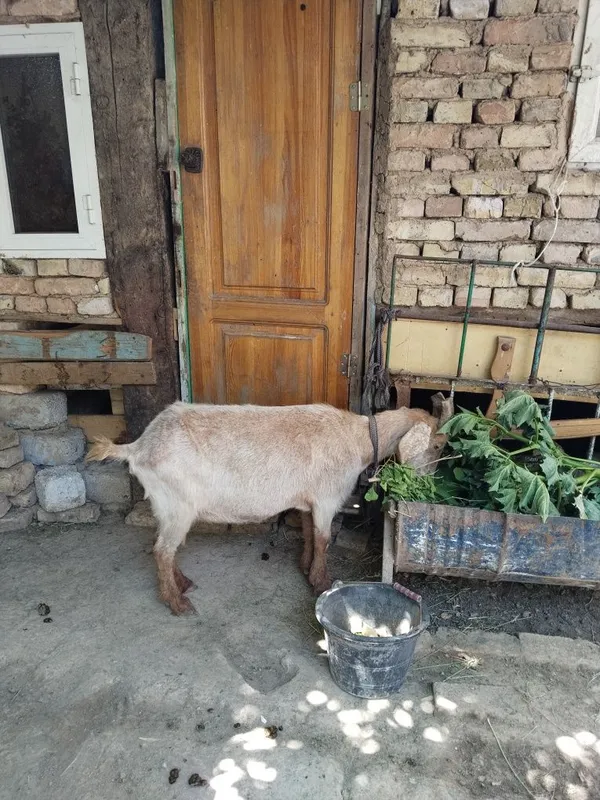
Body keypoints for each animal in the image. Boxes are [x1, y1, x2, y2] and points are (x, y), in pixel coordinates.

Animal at [87, 401, 447, 616]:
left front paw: (305, 568)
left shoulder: (308, 500)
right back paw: (177, 602)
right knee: (163, 549)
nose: (431, 486)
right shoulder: (327, 498)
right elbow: (323, 539)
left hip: (167, 506)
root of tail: (138, 447)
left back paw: (183, 583)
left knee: (163, 546)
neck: (357, 439)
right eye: (437, 445)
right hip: (178, 504)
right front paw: (322, 581)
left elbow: (308, 533)